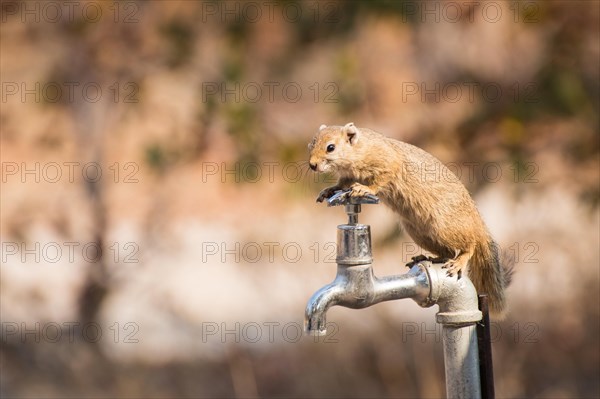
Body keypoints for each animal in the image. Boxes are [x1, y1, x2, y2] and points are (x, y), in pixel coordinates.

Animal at [310, 122, 510, 318]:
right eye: (311, 144)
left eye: (330, 147)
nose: (312, 165)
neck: (360, 148)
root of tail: (476, 220)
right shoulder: (348, 175)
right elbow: (342, 184)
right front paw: (328, 190)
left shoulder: (387, 161)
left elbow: (381, 179)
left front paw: (364, 189)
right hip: (420, 233)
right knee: (446, 251)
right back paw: (427, 257)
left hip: (445, 227)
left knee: (470, 244)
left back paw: (459, 261)